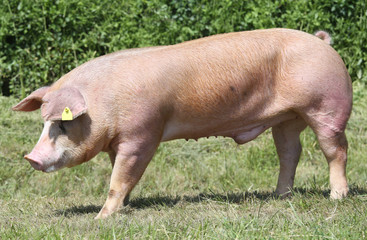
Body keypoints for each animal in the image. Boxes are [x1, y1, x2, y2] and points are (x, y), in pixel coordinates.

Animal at [12, 28, 354, 219]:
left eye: (61, 124)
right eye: (43, 124)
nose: (30, 157)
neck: (103, 104)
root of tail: (323, 43)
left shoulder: (142, 134)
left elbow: (120, 178)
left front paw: (101, 218)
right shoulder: (119, 142)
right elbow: (120, 174)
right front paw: (125, 205)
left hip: (326, 106)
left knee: (336, 150)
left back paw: (337, 197)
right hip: (287, 118)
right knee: (289, 153)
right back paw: (279, 196)